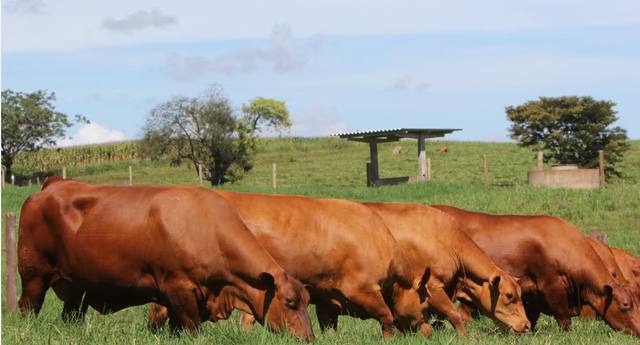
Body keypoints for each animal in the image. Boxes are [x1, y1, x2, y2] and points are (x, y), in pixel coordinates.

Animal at [17, 179, 312, 340]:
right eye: (289, 302)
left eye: (307, 301)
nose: (309, 339)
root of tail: (54, 183)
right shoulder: (179, 289)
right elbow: (192, 330)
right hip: (33, 278)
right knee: (27, 309)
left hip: (77, 290)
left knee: (72, 315)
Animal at [150, 188, 428, 336]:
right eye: (425, 304)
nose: (429, 331)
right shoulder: (362, 289)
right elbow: (387, 316)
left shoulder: (327, 297)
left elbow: (329, 325)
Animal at [432, 204, 640, 336]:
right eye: (625, 305)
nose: (638, 331)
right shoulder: (551, 286)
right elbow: (564, 320)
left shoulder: (530, 294)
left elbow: (530, 319)